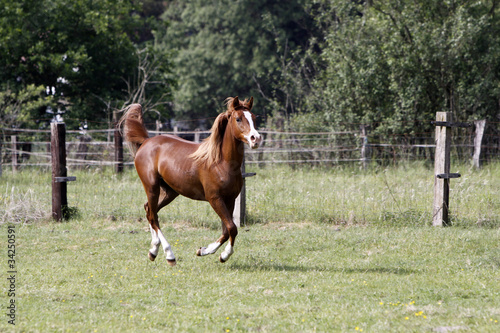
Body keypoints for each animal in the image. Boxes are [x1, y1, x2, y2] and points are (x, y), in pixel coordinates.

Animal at [120, 96, 262, 264]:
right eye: (238, 118)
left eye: (253, 118)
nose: (256, 139)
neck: (220, 162)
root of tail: (146, 142)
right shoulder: (215, 199)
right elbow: (232, 228)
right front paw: (223, 255)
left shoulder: (230, 199)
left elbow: (227, 230)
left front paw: (204, 250)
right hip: (151, 187)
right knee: (153, 216)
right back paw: (169, 255)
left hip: (169, 192)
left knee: (149, 210)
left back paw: (153, 251)